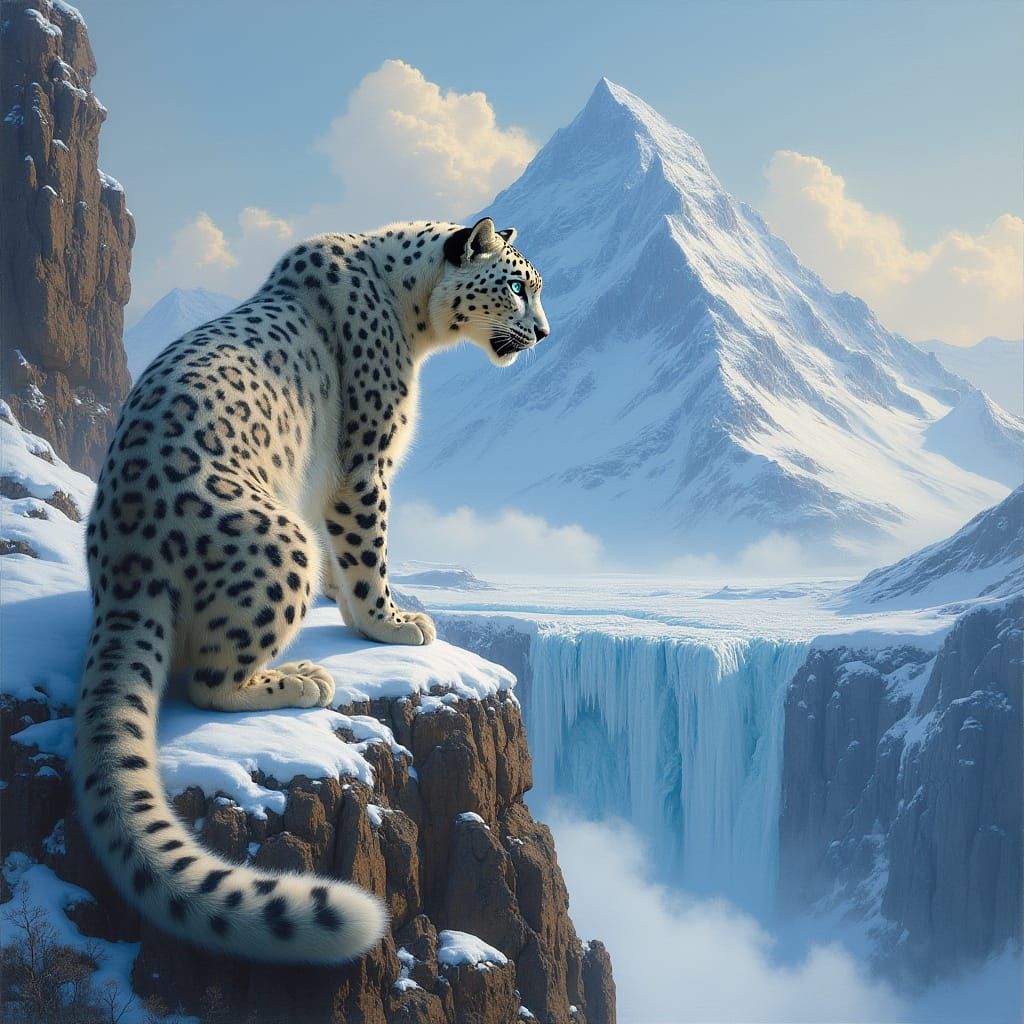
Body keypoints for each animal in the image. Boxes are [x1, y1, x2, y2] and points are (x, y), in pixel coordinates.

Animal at [73, 217, 548, 964]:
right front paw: (393, 622)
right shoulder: (365, 466)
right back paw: (301, 679)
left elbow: (347, 561)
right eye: (519, 287)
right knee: (208, 679)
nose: (546, 333)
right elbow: (366, 551)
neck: (412, 316)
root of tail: (124, 564)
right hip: (282, 543)